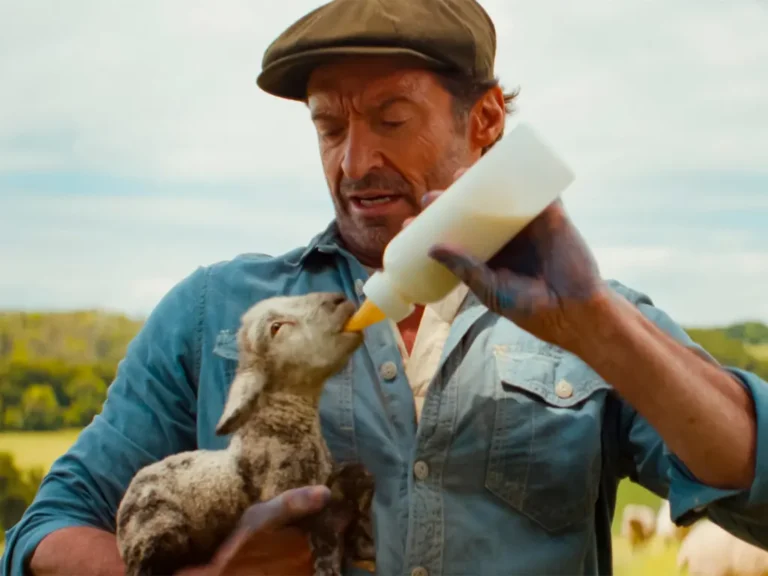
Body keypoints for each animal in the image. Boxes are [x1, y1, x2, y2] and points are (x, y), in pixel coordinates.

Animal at [115, 292, 375, 576]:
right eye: (276, 328)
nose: (339, 299)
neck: (284, 423)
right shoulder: (286, 497)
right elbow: (324, 522)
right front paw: (330, 563)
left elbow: (360, 474)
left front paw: (363, 543)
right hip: (157, 531)